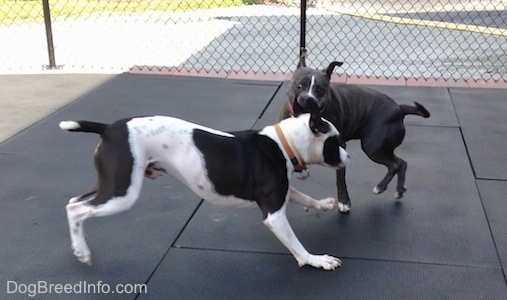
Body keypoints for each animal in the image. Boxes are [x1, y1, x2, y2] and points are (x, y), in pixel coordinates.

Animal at [59, 107, 350, 270]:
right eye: (334, 141)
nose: (348, 156)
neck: (283, 142)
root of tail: (109, 128)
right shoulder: (274, 214)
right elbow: (296, 245)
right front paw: (315, 260)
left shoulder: (281, 194)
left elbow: (306, 198)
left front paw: (325, 204)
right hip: (122, 193)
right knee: (77, 209)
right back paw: (83, 252)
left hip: (111, 183)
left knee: (74, 202)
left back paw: (79, 243)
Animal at [280, 49, 430, 213]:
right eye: (299, 85)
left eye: (320, 89)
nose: (309, 99)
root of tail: (399, 108)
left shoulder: (338, 148)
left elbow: (340, 179)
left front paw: (344, 201)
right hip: (381, 148)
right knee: (402, 163)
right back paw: (399, 190)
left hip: (373, 146)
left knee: (395, 165)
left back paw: (380, 187)